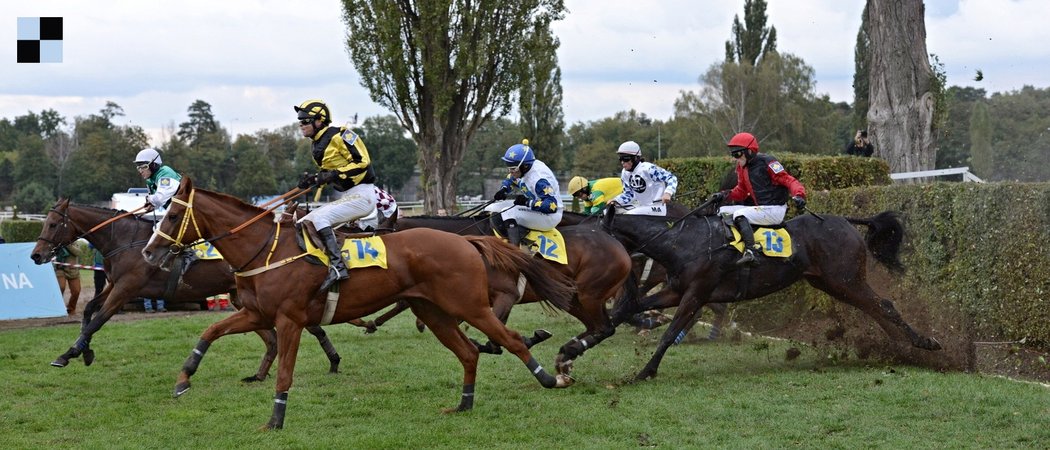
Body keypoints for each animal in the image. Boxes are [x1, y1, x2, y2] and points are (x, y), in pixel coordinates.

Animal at [28, 200, 342, 379]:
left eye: (53, 223)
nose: (36, 255)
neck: (125, 239)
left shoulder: (126, 288)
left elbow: (98, 320)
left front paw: (68, 354)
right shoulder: (116, 285)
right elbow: (90, 311)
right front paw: (85, 352)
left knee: (304, 328)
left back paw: (333, 360)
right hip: (243, 299)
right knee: (275, 337)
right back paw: (264, 373)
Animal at [139, 178, 575, 427]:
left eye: (172, 216)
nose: (148, 252)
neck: (266, 249)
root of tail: (467, 239)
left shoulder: (289, 319)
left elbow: (284, 374)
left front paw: (275, 420)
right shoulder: (256, 313)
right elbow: (210, 331)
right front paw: (183, 380)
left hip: (470, 307)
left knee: (510, 340)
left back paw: (551, 378)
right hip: (433, 312)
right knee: (468, 352)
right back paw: (463, 406)